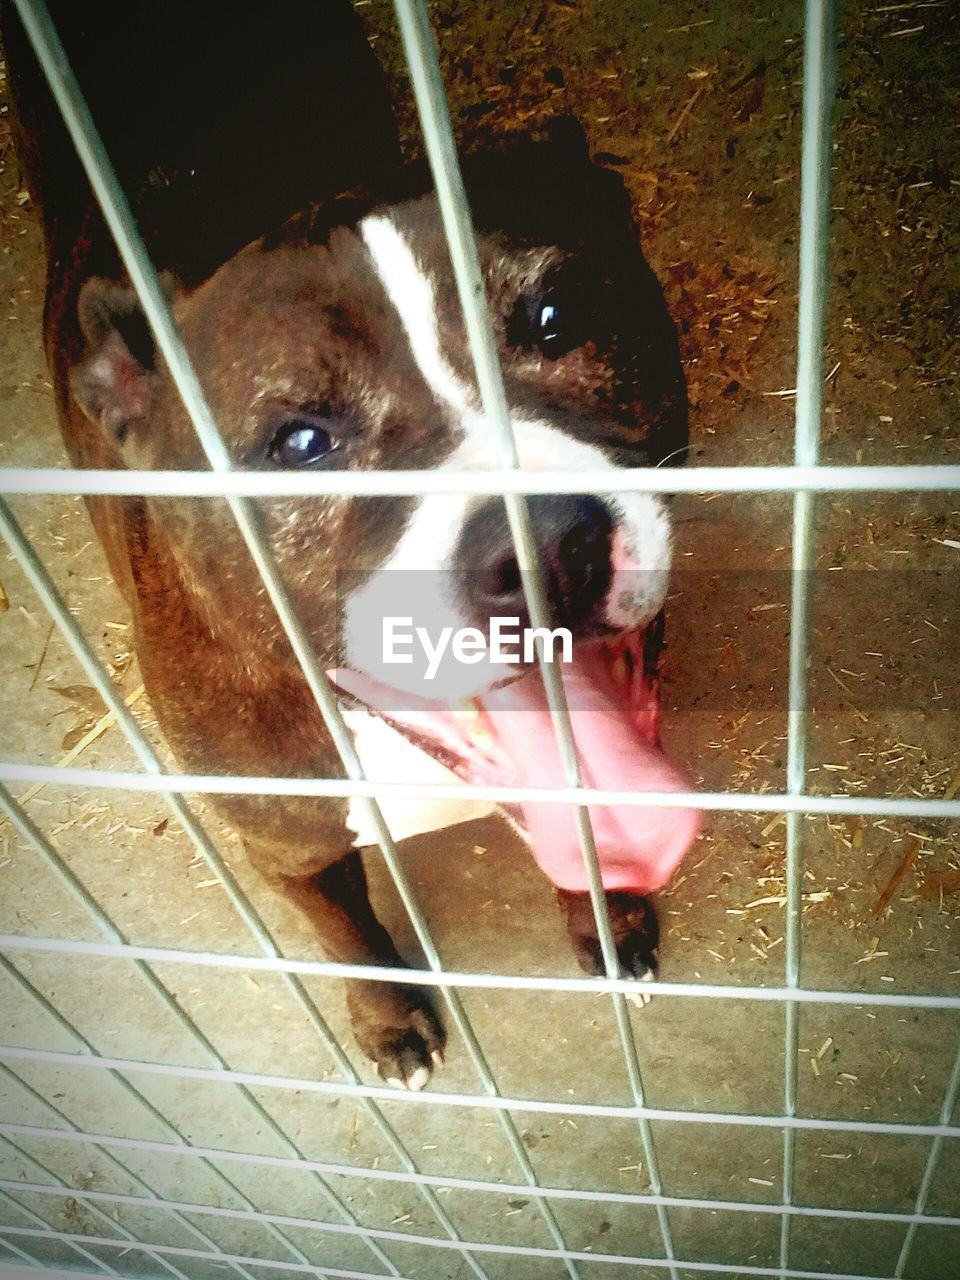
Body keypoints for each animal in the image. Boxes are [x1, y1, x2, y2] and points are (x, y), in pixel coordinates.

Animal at [5, 0, 701, 1090]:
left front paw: (611, 922)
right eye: (298, 444)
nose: (543, 547)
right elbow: (344, 933)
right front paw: (388, 1019)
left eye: (556, 316)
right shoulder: (284, 845)